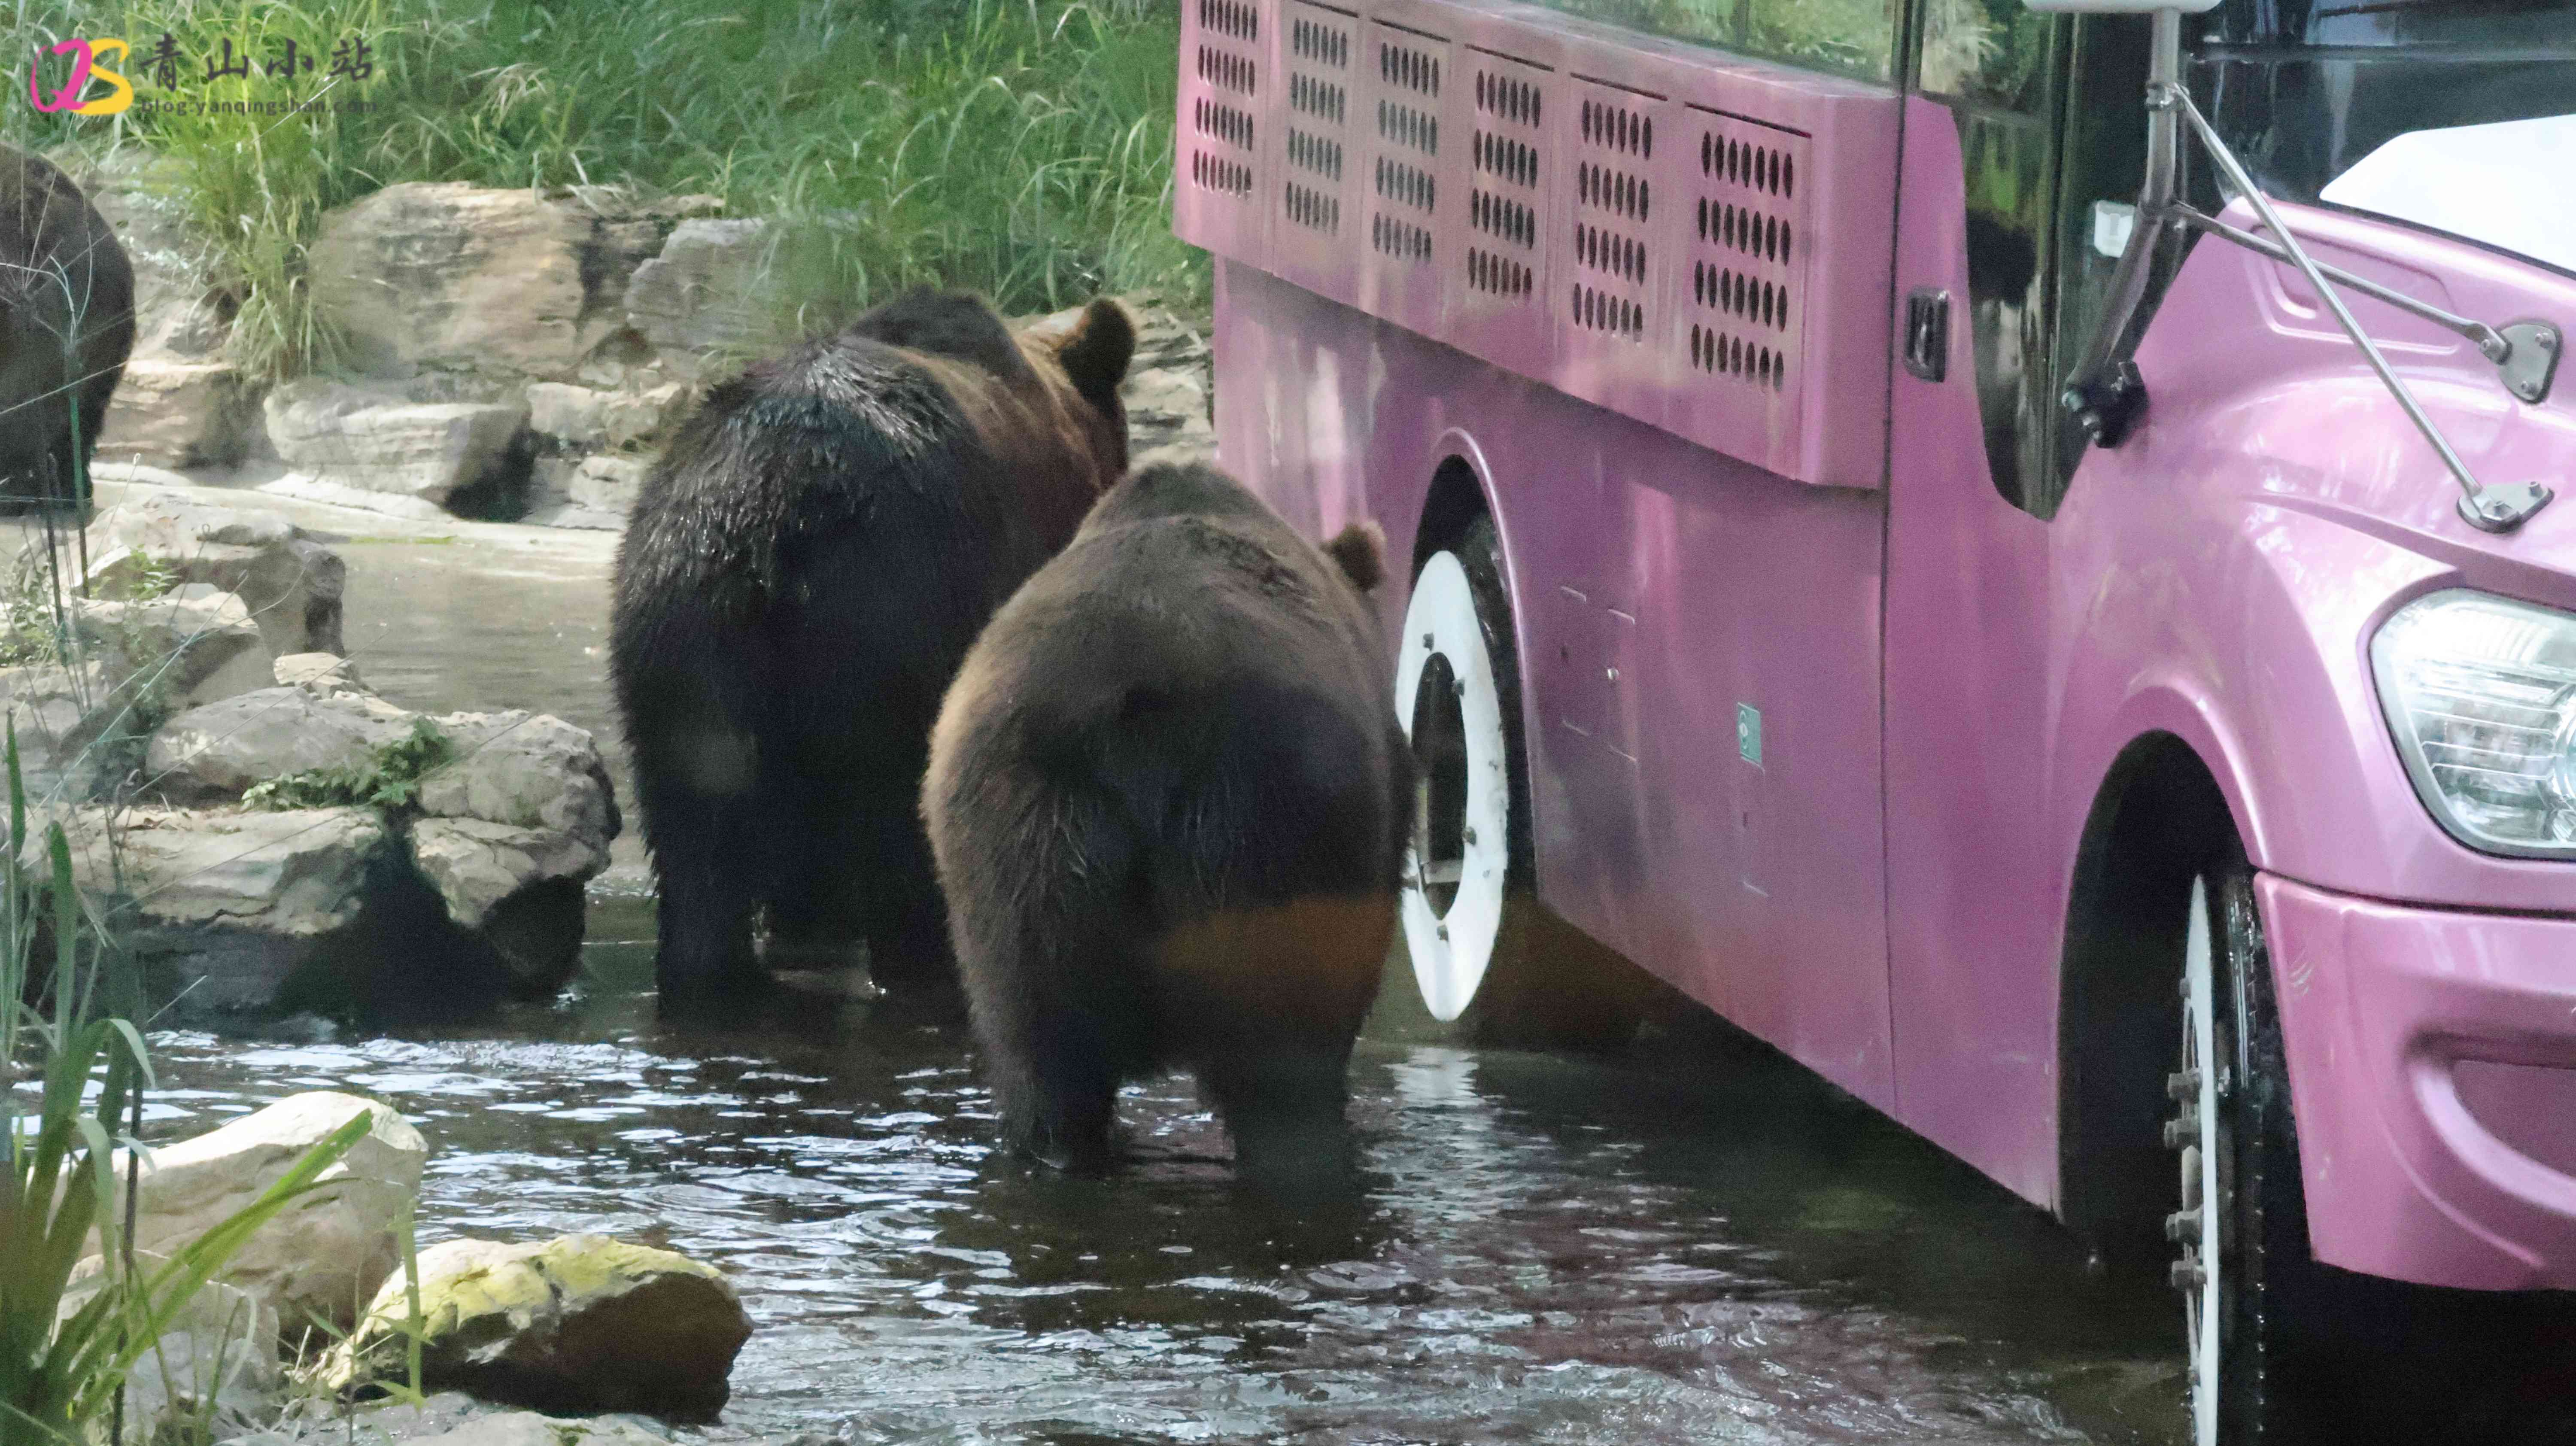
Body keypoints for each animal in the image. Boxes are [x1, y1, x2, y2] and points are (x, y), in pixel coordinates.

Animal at [610, 289, 1135, 1010]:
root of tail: (767, 520)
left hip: (679, 625)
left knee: (697, 824)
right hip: (891, 616)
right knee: (892, 816)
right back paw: (922, 959)